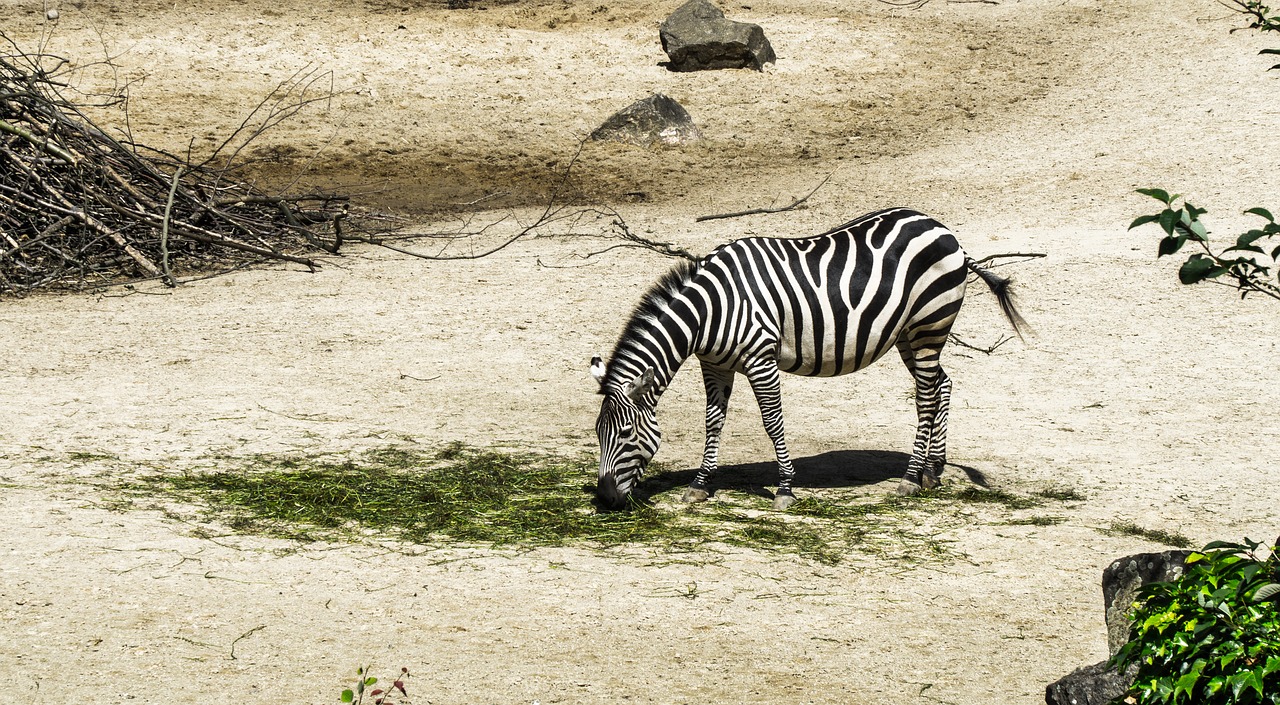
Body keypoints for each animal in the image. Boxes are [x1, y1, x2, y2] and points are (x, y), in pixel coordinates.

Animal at [591, 207, 1029, 509]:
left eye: (626, 434)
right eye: (598, 433)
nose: (606, 498)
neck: (710, 309)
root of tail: (944, 230)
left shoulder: (760, 359)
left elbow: (773, 423)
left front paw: (785, 489)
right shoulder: (714, 364)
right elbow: (713, 422)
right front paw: (699, 486)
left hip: (929, 324)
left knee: (926, 397)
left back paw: (909, 478)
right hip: (910, 333)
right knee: (942, 385)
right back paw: (933, 471)